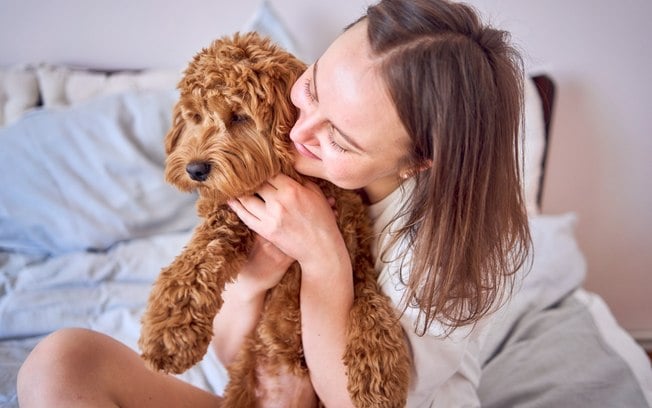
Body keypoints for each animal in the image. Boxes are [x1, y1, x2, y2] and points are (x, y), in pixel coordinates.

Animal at [138, 32, 410, 408]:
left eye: (239, 116)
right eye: (195, 116)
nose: (195, 169)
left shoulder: (355, 255)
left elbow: (371, 304)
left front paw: (378, 374)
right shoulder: (227, 219)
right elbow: (194, 263)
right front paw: (168, 332)